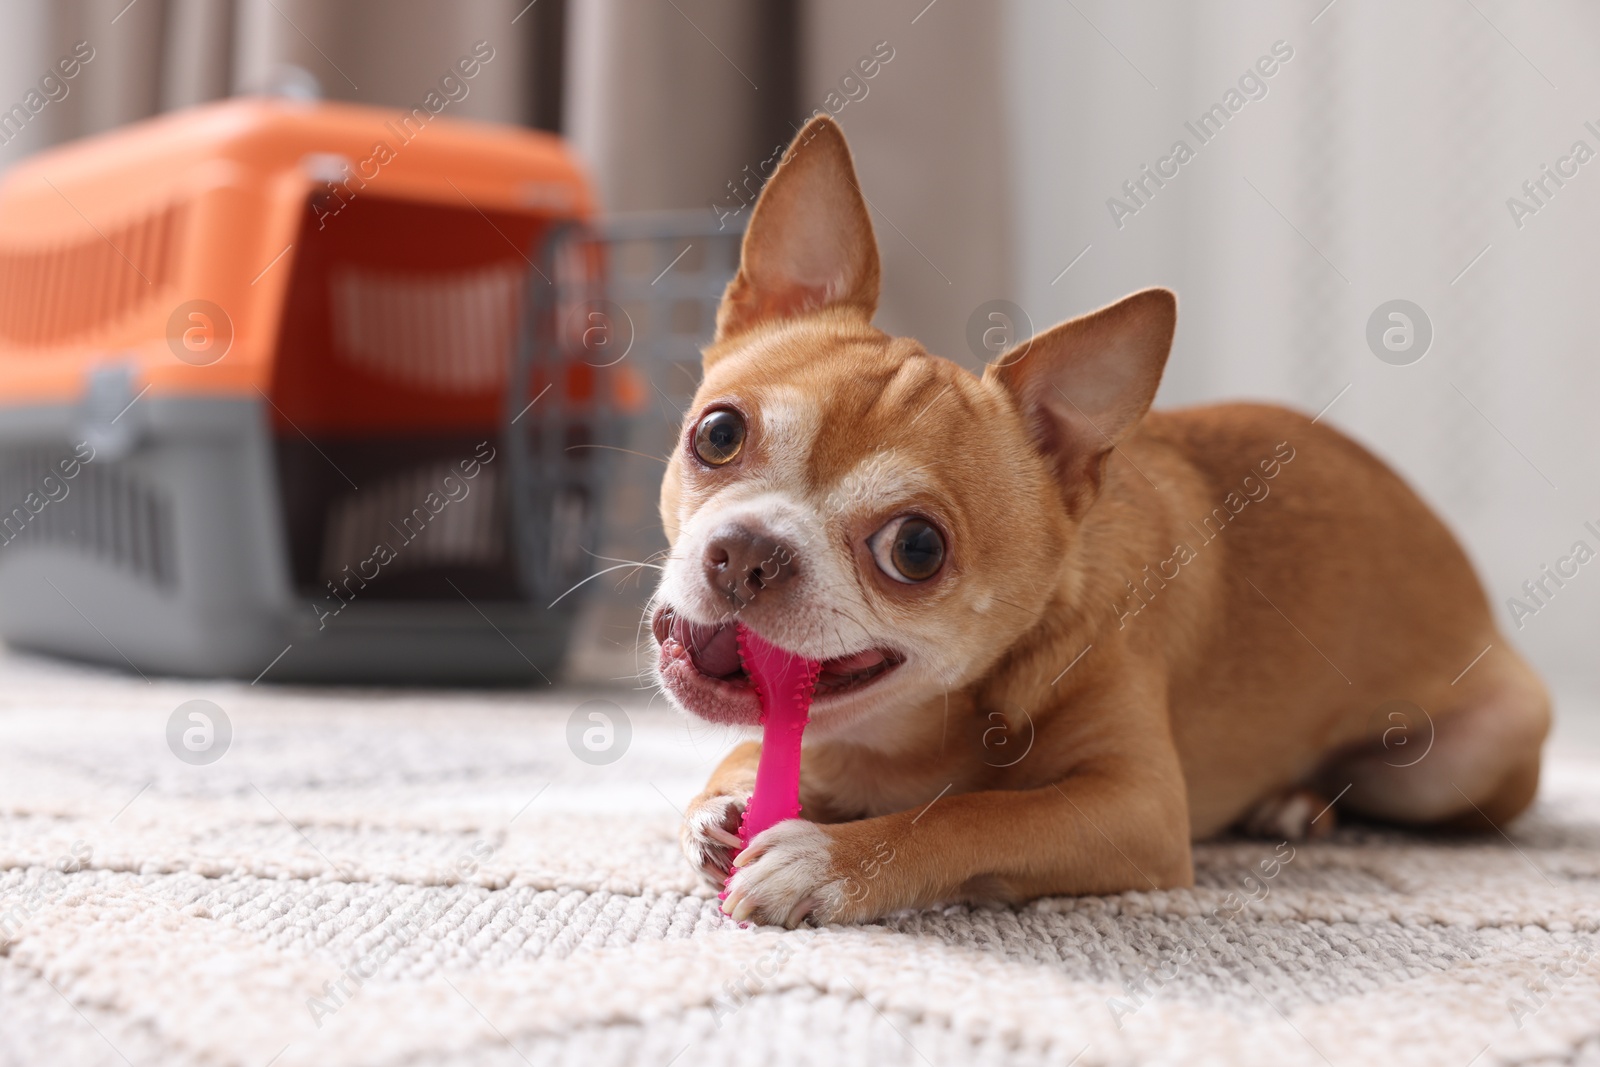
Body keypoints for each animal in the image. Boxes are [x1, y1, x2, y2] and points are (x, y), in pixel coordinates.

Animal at [649, 115, 1548, 927]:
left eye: (917, 548)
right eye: (718, 434)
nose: (748, 551)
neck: (903, 734)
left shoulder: (1135, 807)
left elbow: (974, 813)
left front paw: (831, 858)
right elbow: (744, 753)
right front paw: (721, 804)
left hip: (1464, 755)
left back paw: (1299, 800)